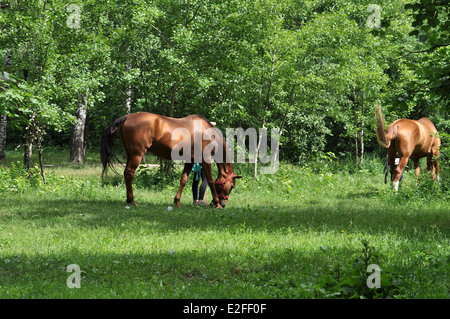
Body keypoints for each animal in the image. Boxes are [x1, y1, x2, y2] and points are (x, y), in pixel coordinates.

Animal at [101, 114, 243, 209]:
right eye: (231, 186)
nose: (224, 204)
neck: (206, 132)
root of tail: (127, 117)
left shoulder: (190, 161)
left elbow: (183, 180)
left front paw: (177, 201)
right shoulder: (205, 160)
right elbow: (211, 181)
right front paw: (217, 203)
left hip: (130, 154)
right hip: (137, 155)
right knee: (129, 173)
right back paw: (132, 200)